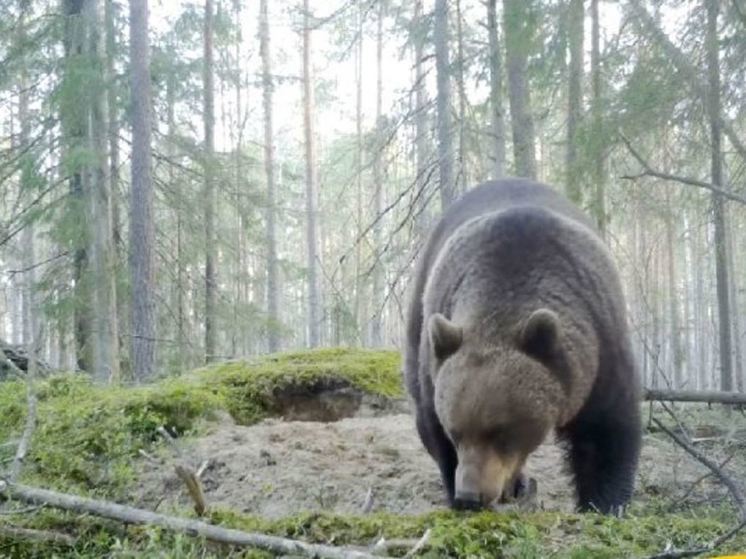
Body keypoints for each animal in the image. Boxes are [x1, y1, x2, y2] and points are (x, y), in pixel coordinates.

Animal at [404, 177, 644, 516]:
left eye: (501, 430)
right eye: (455, 432)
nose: (470, 497)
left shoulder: (600, 337)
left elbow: (606, 428)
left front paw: (603, 502)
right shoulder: (436, 354)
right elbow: (432, 427)